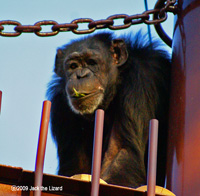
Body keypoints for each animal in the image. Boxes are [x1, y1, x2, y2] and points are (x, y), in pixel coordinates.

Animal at [47, 32, 170, 188]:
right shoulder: (60, 106)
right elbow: (76, 168)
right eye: (73, 66)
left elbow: (121, 152)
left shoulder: (140, 81)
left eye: (92, 62)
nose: (81, 75)